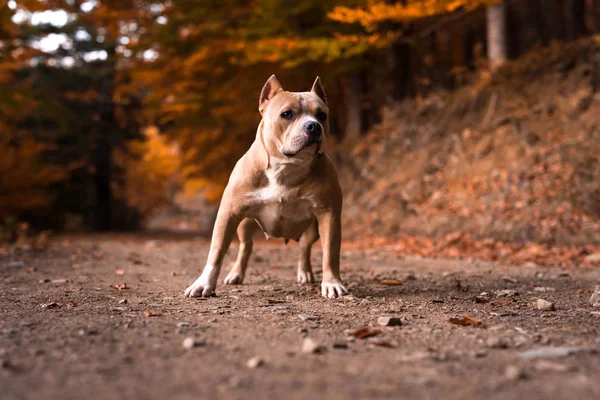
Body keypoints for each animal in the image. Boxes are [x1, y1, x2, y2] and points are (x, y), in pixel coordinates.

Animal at [185, 75, 350, 298]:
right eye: (287, 114)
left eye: (322, 115)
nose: (314, 126)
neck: (286, 167)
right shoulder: (228, 214)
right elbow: (216, 251)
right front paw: (204, 284)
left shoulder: (328, 214)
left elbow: (330, 252)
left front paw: (332, 283)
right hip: (245, 223)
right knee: (246, 246)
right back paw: (236, 274)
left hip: (313, 228)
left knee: (304, 247)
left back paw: (305, 273)